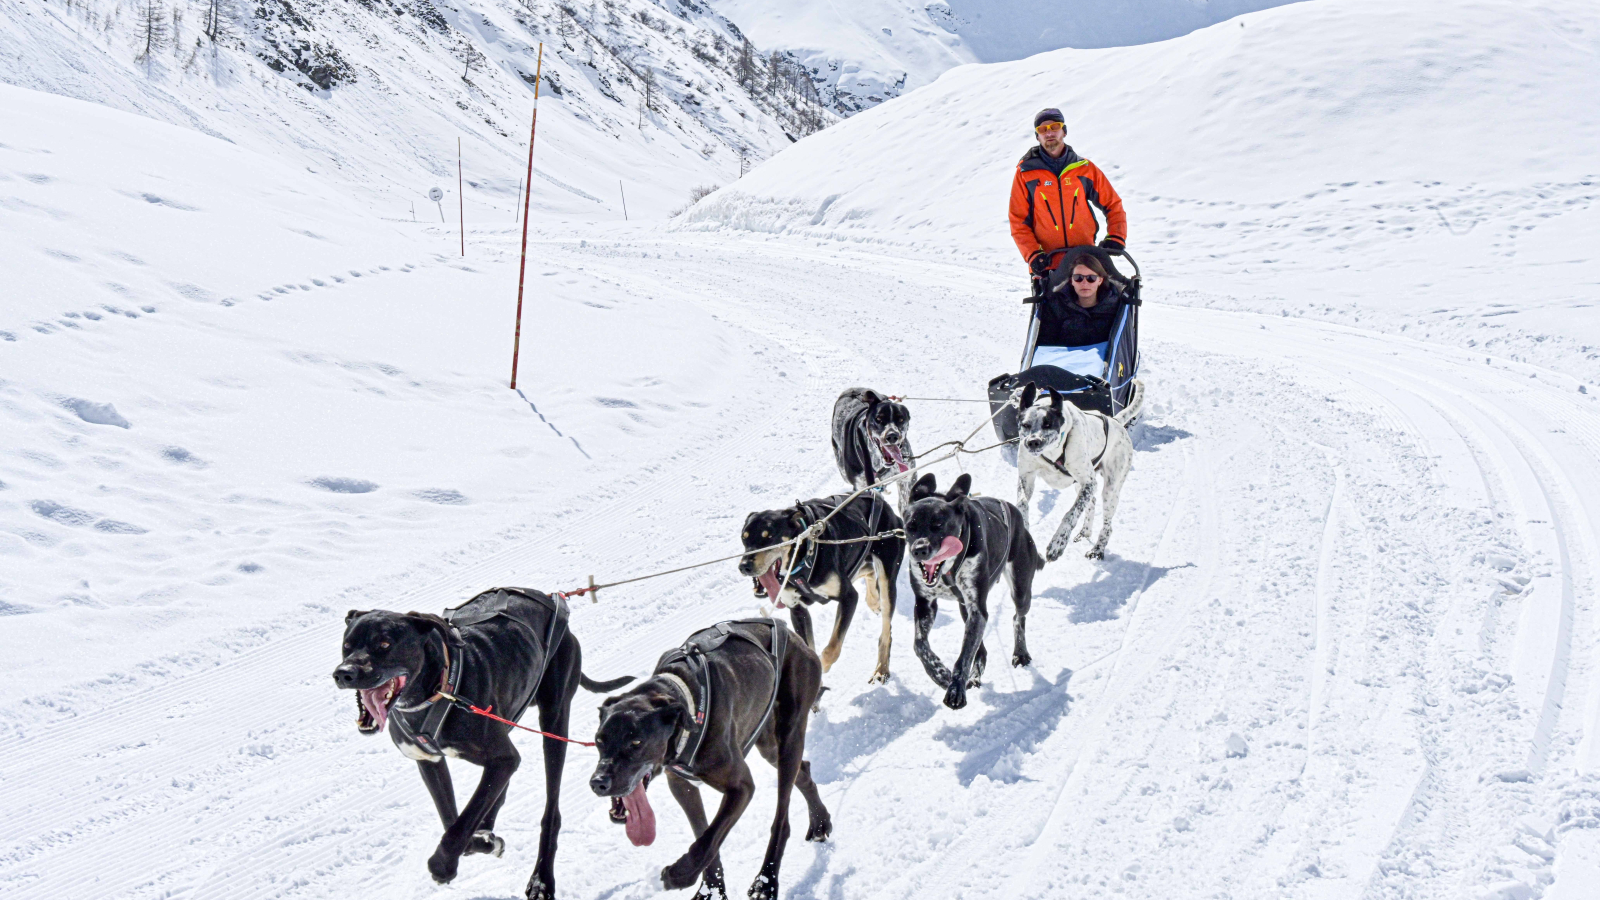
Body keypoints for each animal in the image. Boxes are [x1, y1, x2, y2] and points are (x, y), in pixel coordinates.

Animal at [332, 586, 630, 890]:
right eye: (347, 645)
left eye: (384, 644)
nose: (344, 673)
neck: (439, 689)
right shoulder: (430, 762)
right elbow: (454, 820)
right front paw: (483, 842)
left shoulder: (503, 758)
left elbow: (461, 824)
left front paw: (443, 865)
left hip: (554, 721)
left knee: (551, 810)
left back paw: (541, 879)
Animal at [592, 614, 838, 896]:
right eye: (599, 740)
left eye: (636, 741)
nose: (598, 782)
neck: (686, 698)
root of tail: (793, 635)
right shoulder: (682, 786)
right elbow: (704, 833)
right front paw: (711, 888)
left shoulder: (741, 787)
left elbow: (708, 840)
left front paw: (680, 874)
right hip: (767, 739)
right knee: (803, 770)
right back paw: (820, 821)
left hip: (790, 730)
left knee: (781, 818)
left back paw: (767, 879)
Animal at [736, 490, 902, 679]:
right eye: (744, 537)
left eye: (769, 536)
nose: (744, 566)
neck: (803, 555)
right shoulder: (797, 610)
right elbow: (807, 647)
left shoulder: (849, 597)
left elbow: (833, 648)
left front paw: (822, 667)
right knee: (868, 569)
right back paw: (873, 601)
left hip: (887, 578)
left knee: (886, 631)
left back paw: (882, 668)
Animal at [908, 470, 1043, 707]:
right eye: (910, 526)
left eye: (938, 524)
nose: (919, 550)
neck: (948, 571)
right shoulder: (925, 604)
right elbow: (920, 645)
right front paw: (940, 674)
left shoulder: (977, 608)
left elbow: (963, 657)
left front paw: (955, 690)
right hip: (965, 608)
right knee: (981, 650)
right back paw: (974, 676)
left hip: (1020, 590)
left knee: (1018, 618)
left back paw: (1020, 652)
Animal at [1017, 377, 1145, 560]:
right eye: (1025, 425)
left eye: (1048, 424)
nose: (1033, 442)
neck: (1053, 453)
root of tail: (1116, 421)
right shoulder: (1026, 477)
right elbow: (1022, 504)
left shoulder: (1088, 483)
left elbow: (1071, 514)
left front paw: (1058, 543)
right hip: (1081, 486)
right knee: (1091, 502)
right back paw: (1085, 532)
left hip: (1110, 490)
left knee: (1107, 525)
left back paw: (1097, 549)